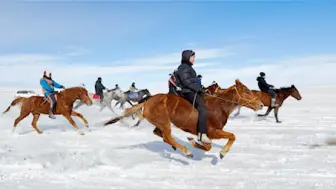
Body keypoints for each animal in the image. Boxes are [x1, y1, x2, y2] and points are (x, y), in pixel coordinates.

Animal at [103, 79, 264, 159]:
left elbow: (209, 145)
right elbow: (230, 137)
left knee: (160, 134)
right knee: (167, 136)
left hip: (160, 122)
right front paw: (222, 153)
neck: (218, 107)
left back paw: (177, 147)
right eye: (247, 91)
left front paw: (193, 141)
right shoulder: (212, 131)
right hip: (164, 122)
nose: (261, 104)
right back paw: (186, 151)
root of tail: (148, 100)